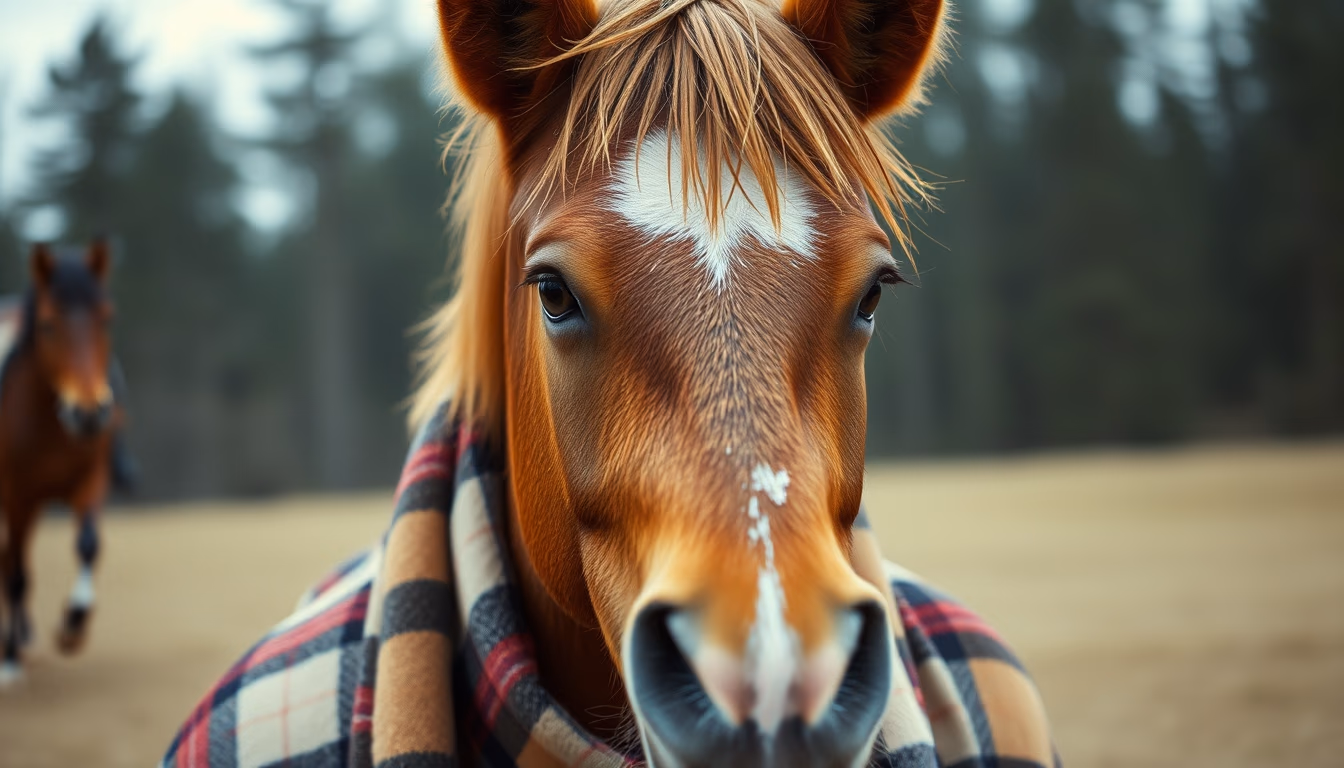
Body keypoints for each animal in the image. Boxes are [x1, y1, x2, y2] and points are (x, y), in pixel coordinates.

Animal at [0, 239, 119, 686]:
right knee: (11, 564)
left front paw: (74, 622)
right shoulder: (17, 494)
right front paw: (9, 660)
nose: (88, 413)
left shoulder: (92, 476)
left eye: (107, 319)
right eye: (49, 325)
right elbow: (17, 573)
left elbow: (88, 543)